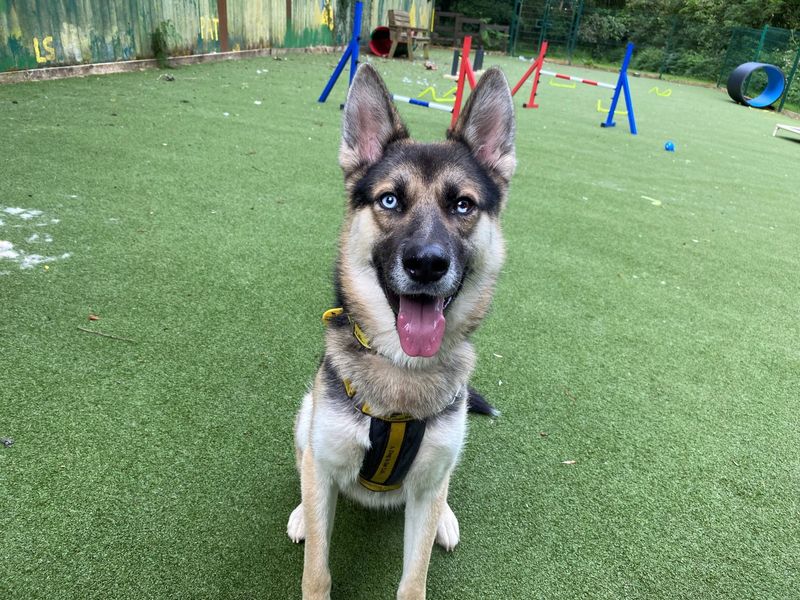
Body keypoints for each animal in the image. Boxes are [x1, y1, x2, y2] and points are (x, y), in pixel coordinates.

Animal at [290, 62, 516, 600]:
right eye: (390, 200)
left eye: (462, 205)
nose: (427, 264)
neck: (401, 370)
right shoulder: (324, 462)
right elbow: (317, 570)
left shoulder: (427, 483)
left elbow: (414, 579)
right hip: (306, 413)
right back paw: (302, 514)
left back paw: (446, 519)